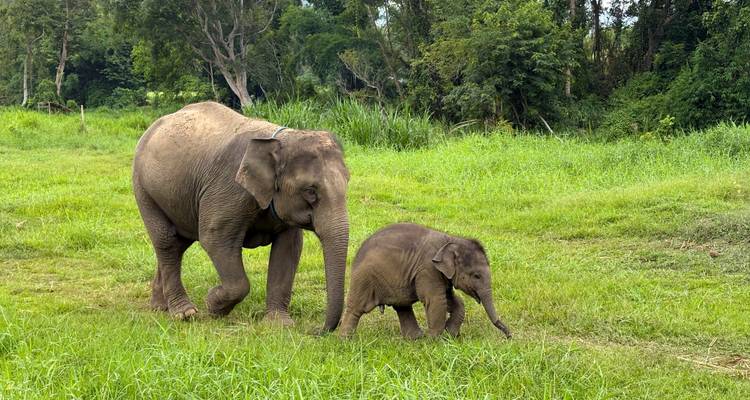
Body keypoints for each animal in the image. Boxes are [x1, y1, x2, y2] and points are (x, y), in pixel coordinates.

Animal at [132, 101, 349, 332]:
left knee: (177, 244)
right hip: (144, 190)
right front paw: (212, 305)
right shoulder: (229, 189)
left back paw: (160, 307)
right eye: (310, 191)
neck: (281, 139)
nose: (317, 330)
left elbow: (289, 248)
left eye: (348, 182)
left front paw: (279, 325)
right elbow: (215, 239)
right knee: (166, 241)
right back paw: (185, 314)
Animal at [339, 223, 512, 339]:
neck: (451, 239)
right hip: (364, 280)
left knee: (402, 306)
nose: (509, 336)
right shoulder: (428, 269)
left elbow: (452, 300)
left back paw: (416, 339)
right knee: (356, 308)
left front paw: (450, 335)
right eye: (476, 276)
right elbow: (436, 300)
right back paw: (345, 341)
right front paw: (436, 341)